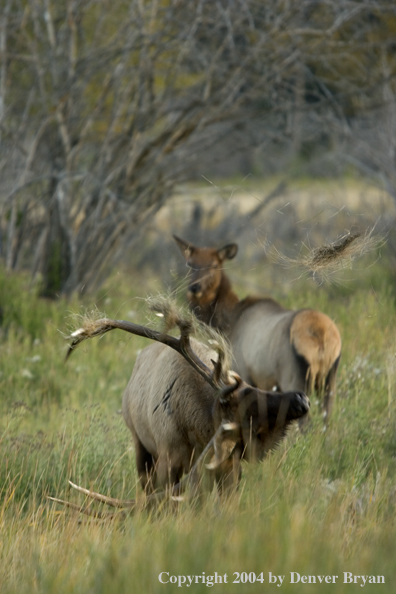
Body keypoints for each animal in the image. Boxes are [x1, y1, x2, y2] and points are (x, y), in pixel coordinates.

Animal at [48, 302, 310, 516]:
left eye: (250, 385)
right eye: (249, 398)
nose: (301, 398)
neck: (196, 430)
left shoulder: (227, 463)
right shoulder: (168, 459)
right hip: (140, 445)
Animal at [175, 234, 342, 424]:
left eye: (214, 265)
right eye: (190, 264)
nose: (195, 288)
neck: (228, 323)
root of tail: (321, 335)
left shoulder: (243, 372)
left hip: (294, 377)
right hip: (330, 380)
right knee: (327, 419)